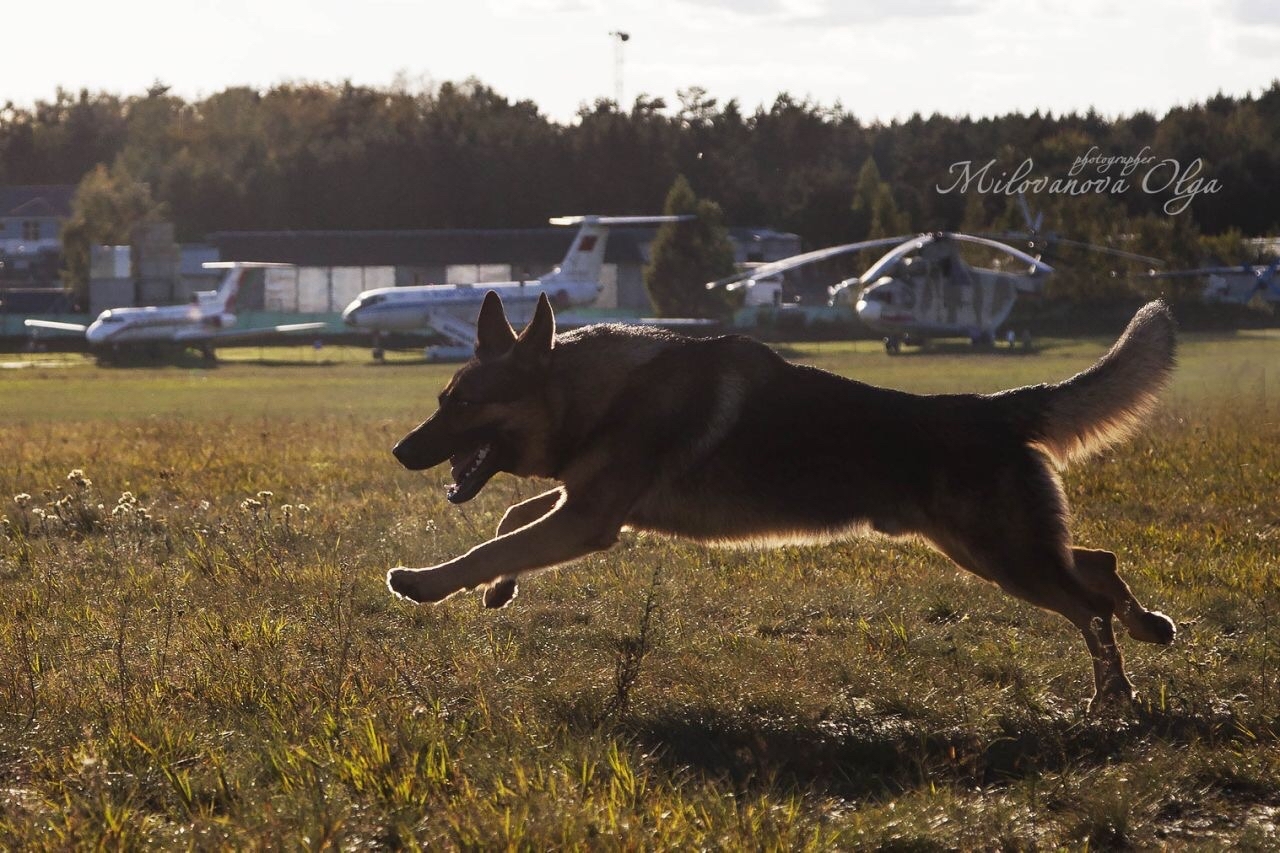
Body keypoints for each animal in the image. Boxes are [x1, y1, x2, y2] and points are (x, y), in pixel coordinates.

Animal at [389, 290, 1177, 701]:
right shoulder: (588, 506)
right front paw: (498, 589)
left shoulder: (589, 518)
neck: (594, 392)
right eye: (443, 399)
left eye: (464, 405)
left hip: (1002, 556)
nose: (399, 452)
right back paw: (1149, 628)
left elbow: (491, 541)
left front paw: (426, 584)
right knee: (1098, 566)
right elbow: (510, 522)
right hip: (993, 549)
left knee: (1086, 603)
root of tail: (995, 407)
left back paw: (1114, 695)